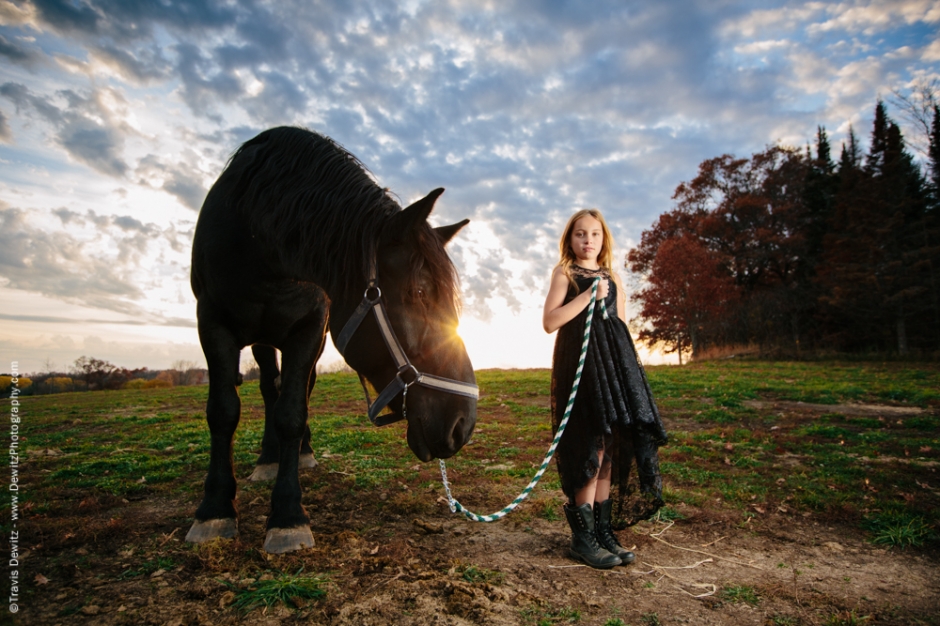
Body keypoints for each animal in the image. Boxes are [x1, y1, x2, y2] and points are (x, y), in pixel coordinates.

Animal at [185, 125, 478, 552]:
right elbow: (223, 411)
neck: (255, 235)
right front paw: (215, 508)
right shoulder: (211, 322)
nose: (463, 424)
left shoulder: (309, 328)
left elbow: (293, 412)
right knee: (269, 388)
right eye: (420, 292)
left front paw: (287, 514)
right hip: (261, 342)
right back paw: (268, 459)